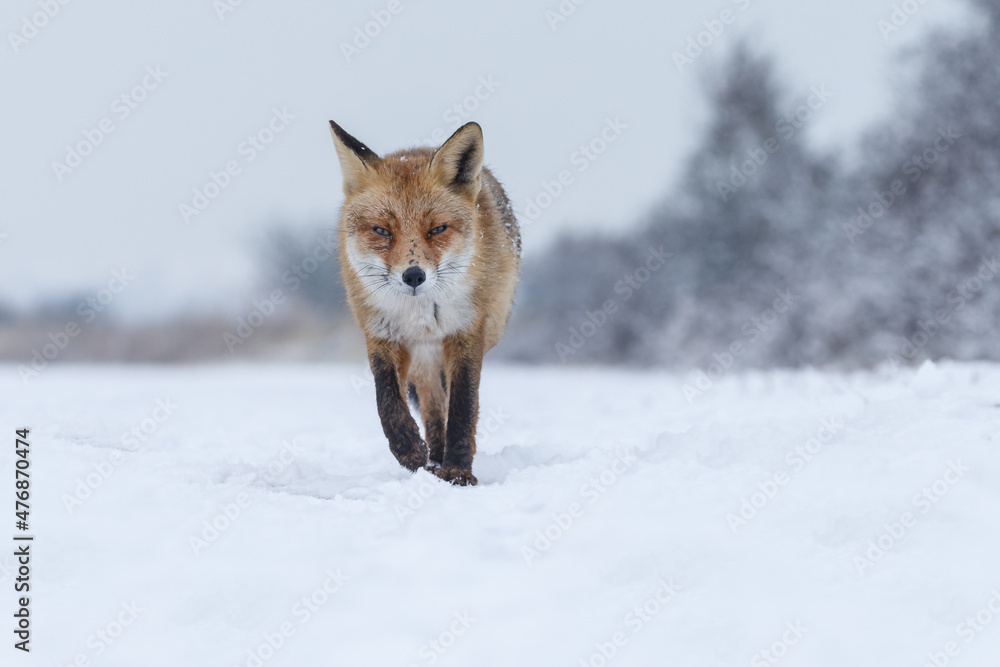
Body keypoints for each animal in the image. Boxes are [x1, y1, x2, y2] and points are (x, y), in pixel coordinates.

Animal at [330, 120, 520, 486]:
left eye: (437, 229)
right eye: (381, 230)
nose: (414, 276)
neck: (422, 316)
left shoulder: (467, 332)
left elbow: (463, 406)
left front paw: (458, 471)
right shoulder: (382, 335)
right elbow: (387, 399)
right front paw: (408, 449)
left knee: (447, 404)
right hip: (424, 359)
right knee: (432, 406)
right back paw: (432, 459)